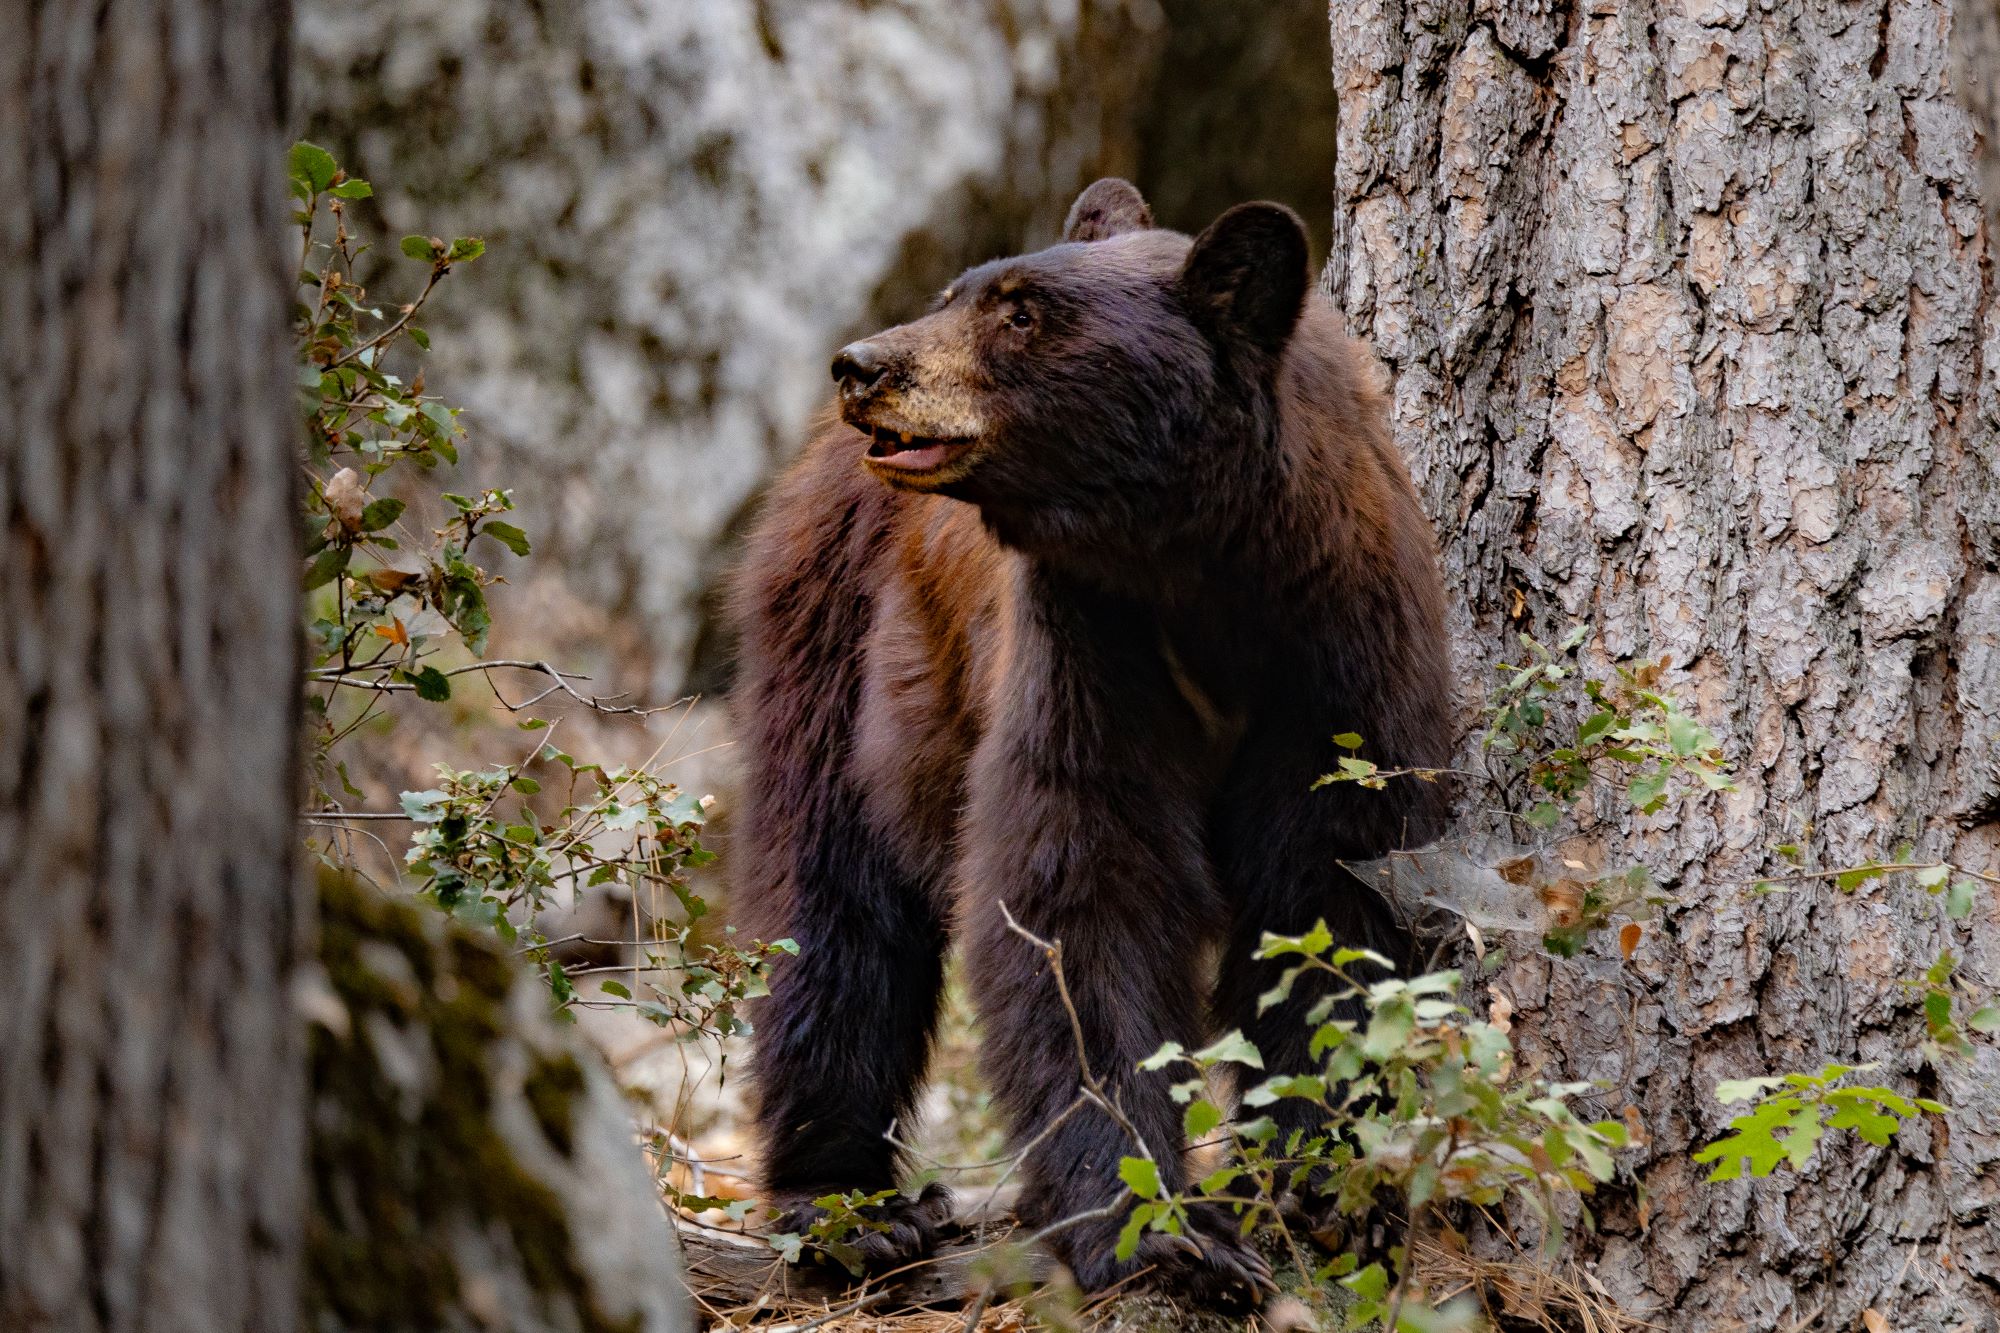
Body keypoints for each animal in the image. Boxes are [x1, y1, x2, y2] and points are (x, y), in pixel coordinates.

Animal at [728, 174, 1448, 1296]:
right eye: (957, 290)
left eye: (1021, 313)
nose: (862, 366)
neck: (1200, 569)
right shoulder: (1085, 642)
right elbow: (1079, 886)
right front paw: (1159, 1228)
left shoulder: (1344, 650)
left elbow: (1332, 889)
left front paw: (1323, 1189)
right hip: (833, 643)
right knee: (827, 906)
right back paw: (849, 1206)